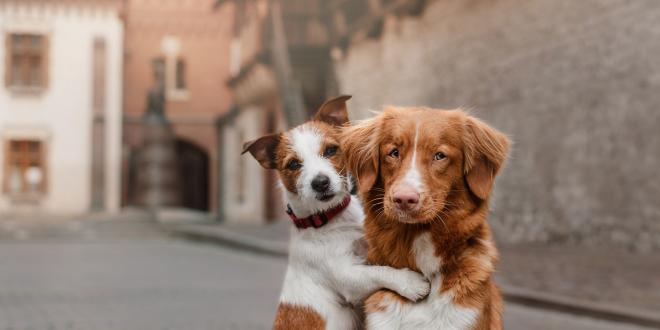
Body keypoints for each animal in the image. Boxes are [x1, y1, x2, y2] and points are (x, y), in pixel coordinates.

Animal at [241, 96, 428, 330]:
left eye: (330, 150)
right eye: (293, 164)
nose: (320, 182)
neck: (331, 218)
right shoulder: (348, 276)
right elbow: (378, 272)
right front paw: (410, 282)